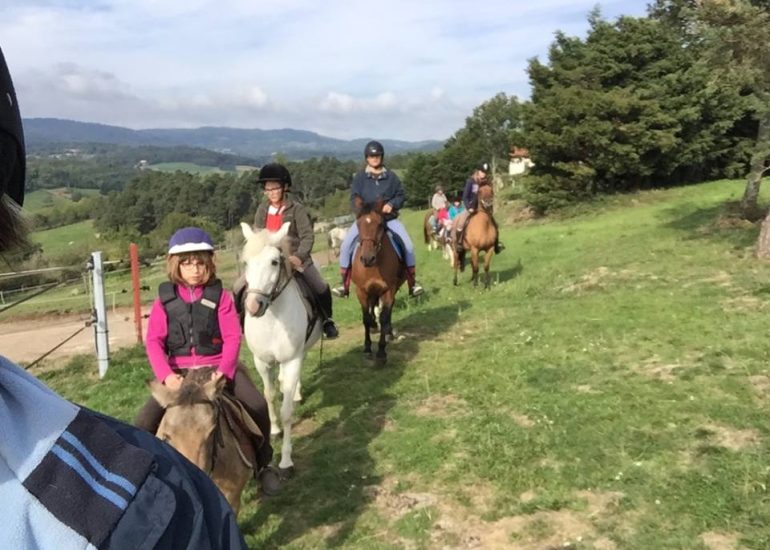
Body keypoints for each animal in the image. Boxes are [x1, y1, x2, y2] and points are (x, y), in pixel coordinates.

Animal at [238, 222, 320, 476]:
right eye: (246, 262)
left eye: (275, 262)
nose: (253, 306)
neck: (273, 318)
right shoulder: (262, 362)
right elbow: (270, 395)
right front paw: (273, 430)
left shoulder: (292, 359)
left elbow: (287, 412)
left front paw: (285, 461)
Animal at [352, 196, 404, 364]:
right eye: (358, 224)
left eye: (380, 224)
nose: (367, 258)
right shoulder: (361, 291)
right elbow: (366, 318)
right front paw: (367, 348)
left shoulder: (388, 289)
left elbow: (384, 316)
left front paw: (381, 351)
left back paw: (388, 332)